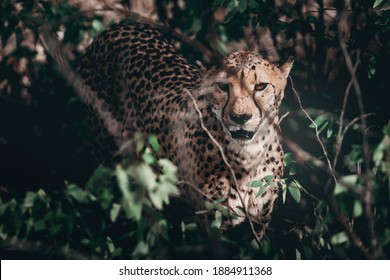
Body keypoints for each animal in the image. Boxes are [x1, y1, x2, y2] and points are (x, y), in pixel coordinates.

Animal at [78, 21, 292, 237]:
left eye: (261, 86)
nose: (240, 117)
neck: (248, 156)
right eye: (223, 87)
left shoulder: (258, 223)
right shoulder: (211, 222)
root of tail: (118, 26)